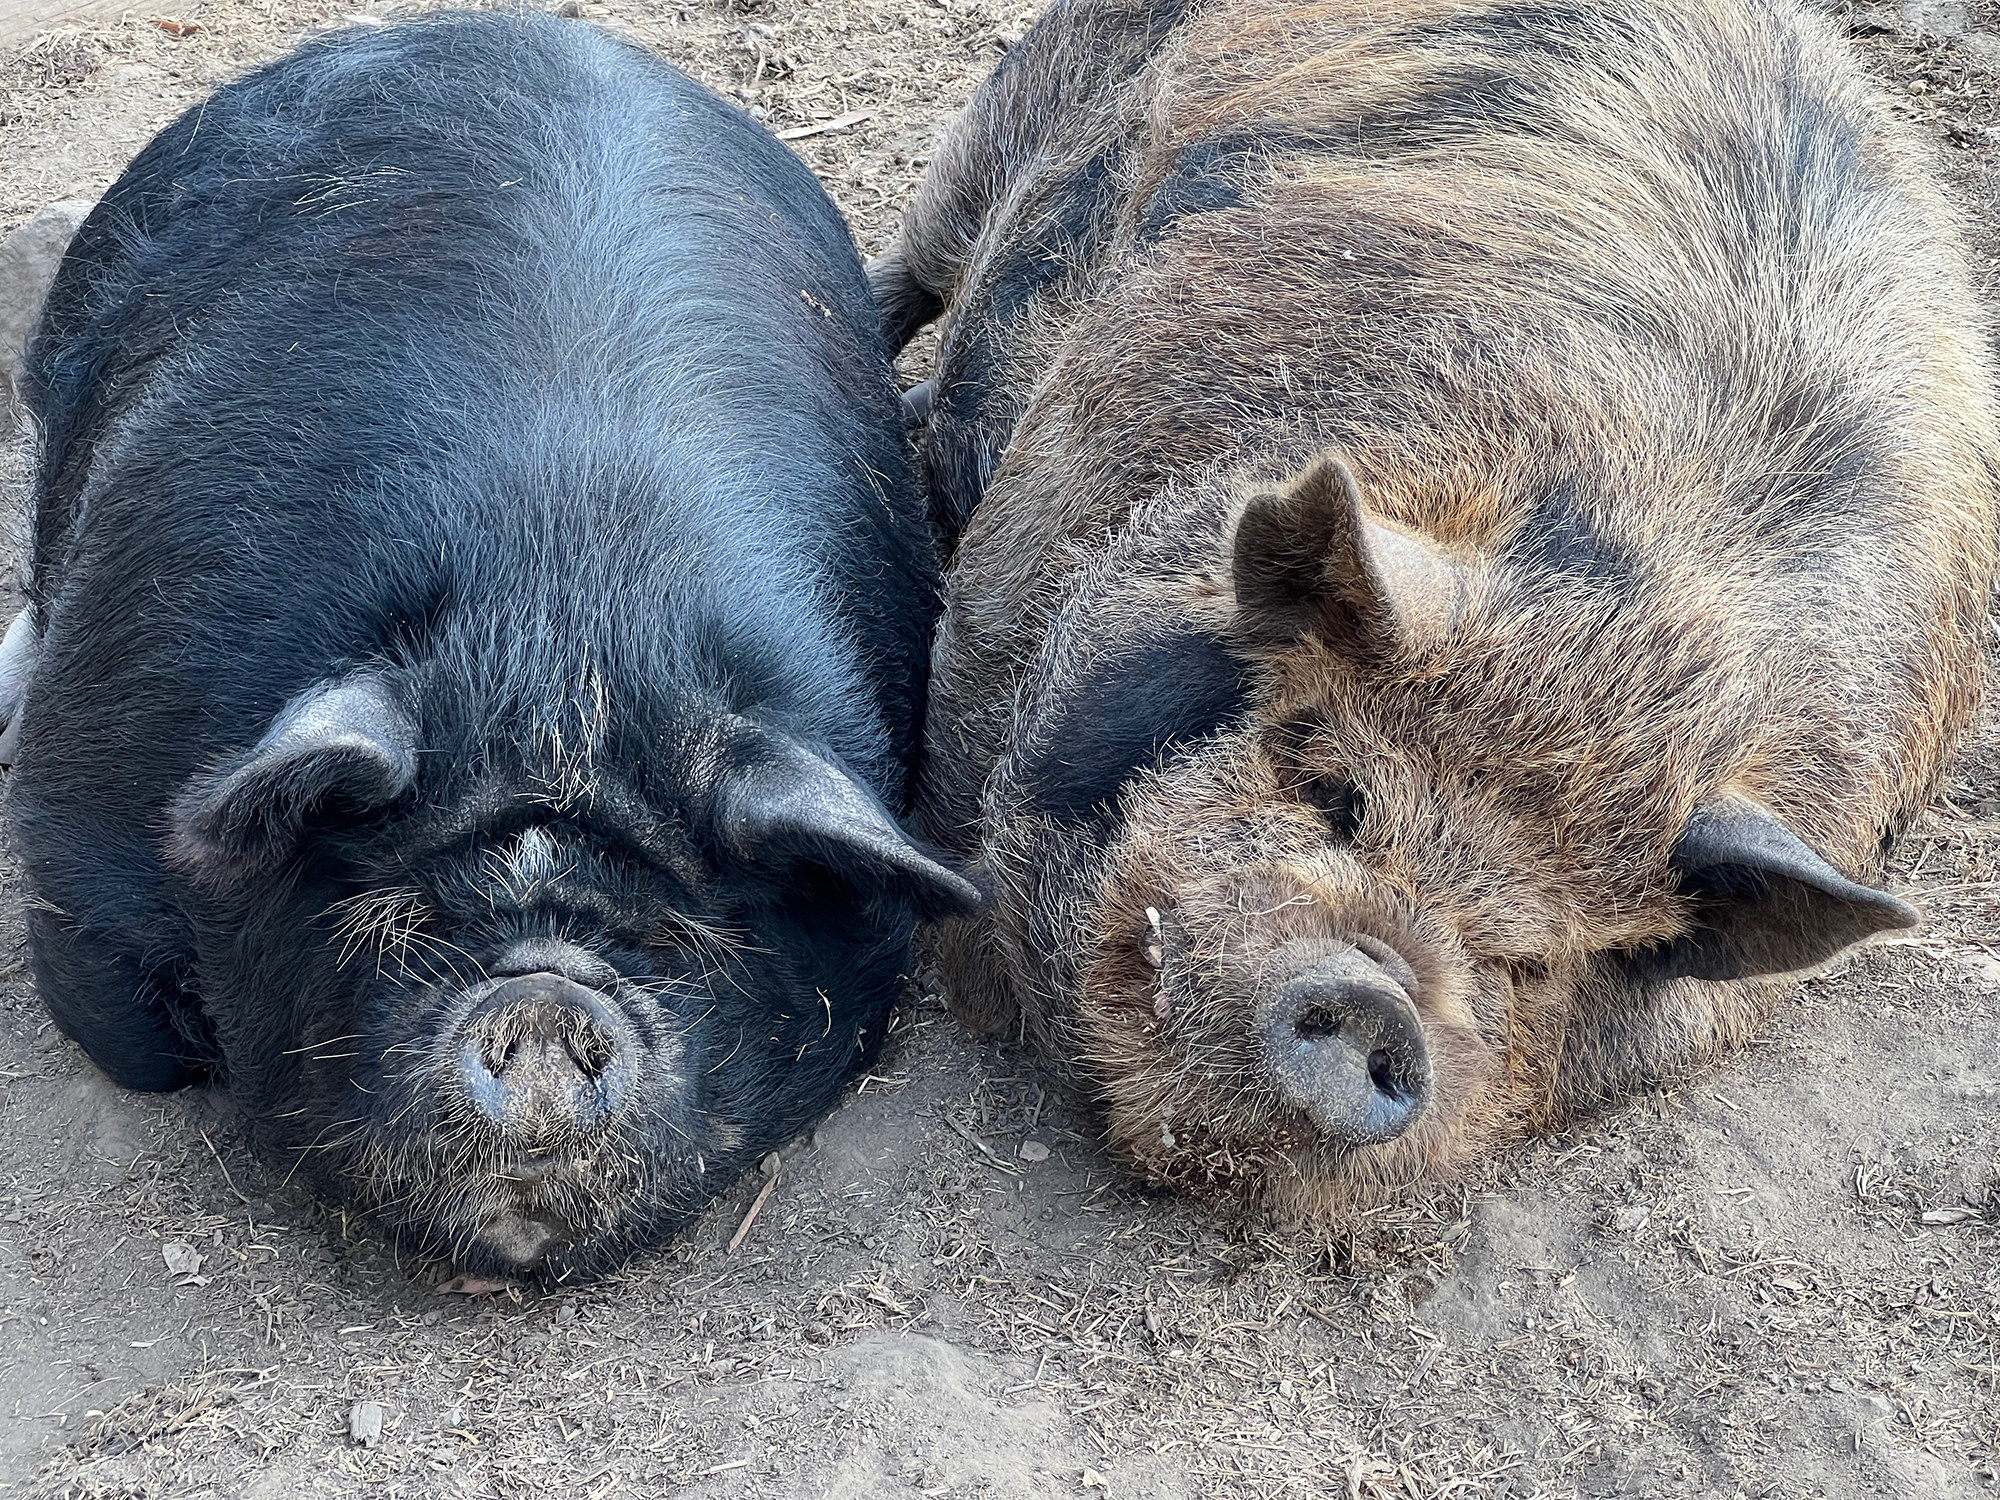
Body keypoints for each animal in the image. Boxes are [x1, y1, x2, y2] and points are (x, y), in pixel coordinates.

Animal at [0, 11, 968, 1280]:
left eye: (675, 938)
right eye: (411, 921)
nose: (545, 1009)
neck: (565, 652)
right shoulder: (81, 806)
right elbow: (128, 1038)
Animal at [884, 0, 2000, 1224]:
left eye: (1524, 959)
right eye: (1328, 789)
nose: (1378, 998)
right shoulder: (1022, 551)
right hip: (1015, 106)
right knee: (916, 262)